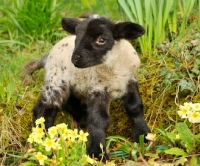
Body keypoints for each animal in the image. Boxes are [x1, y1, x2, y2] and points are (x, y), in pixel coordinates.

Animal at [28, 14, 151, 160]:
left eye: (101, 39)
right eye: (77, 36)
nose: (75, 59)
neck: (113, 70)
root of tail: (50, 53)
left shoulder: (130, 81)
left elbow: (135, 107)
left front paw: (144, 136)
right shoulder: (97, 88)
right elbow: (99, 119)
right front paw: (97, 153)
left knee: (69, 102)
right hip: (55, 80)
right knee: (44, 108)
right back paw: (44, 137)